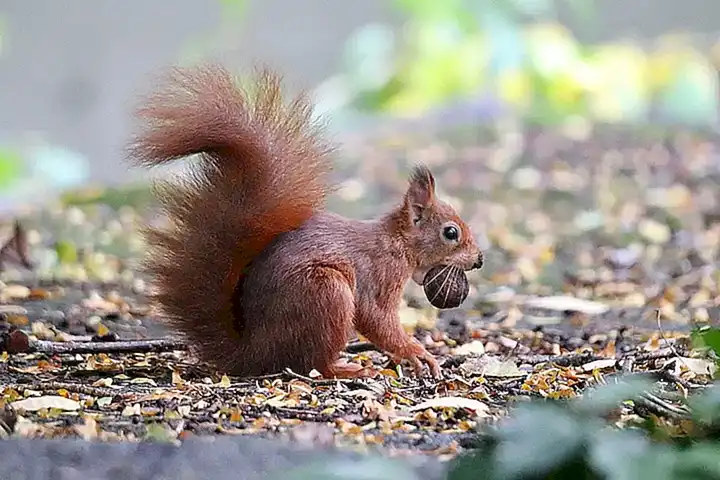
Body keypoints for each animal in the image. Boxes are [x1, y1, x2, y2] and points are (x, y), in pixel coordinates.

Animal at [128, 63, 484, 379]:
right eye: (450, 232)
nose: (479, 260)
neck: (397, 242)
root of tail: (252, 353)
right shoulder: (378, 275)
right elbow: (376, 318)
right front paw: (417, 353)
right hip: (326, 293)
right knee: (312, 363)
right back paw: (346, 369)